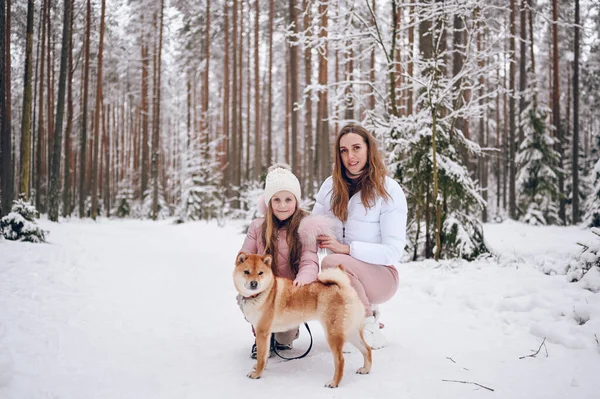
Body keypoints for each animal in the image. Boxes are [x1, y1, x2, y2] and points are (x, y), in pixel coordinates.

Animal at [233, 253, 370, 388]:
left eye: (260, 273)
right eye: (246, 272)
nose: (254, 283)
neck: (261, 294)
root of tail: (344, 287)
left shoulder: (262, 331)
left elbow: (261, 356)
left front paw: (257, 373)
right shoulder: (267, 333)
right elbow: (265, 354)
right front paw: (261, 367)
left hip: (333, 334)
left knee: (340, 360)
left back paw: (334, 382)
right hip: (351, 332)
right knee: (367, 349)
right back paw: (365, 369)